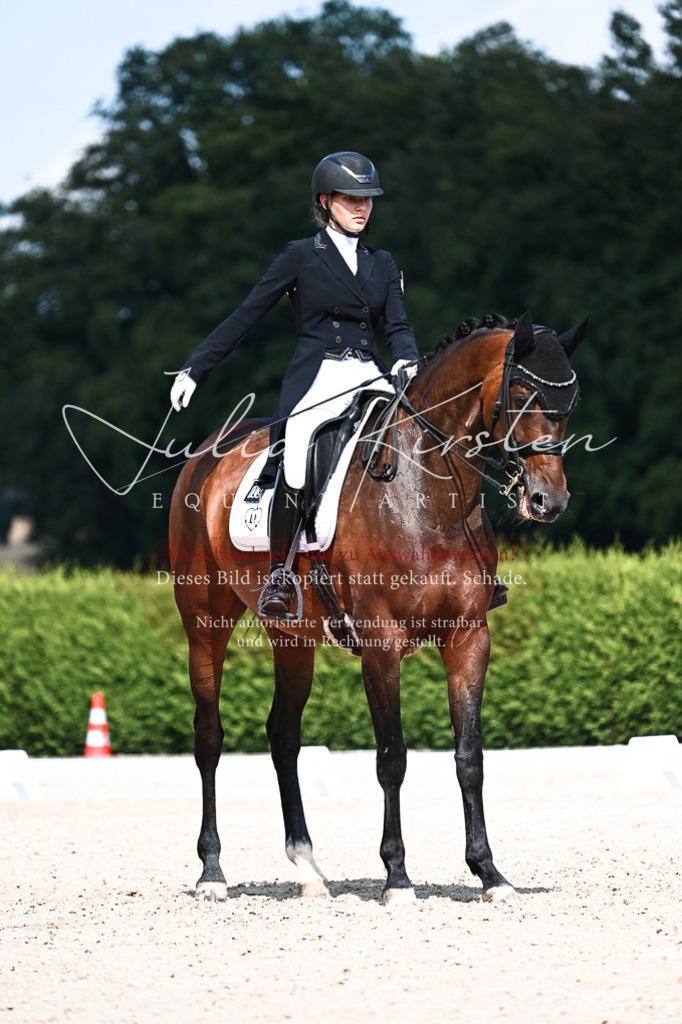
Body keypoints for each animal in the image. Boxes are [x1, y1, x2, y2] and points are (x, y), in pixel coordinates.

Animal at [169, 310, 588, 905]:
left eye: (570, 402)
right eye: (522, 393)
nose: (547, 502)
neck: (427, 492)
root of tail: (207, 452)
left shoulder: (468, 637)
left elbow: (470, 757)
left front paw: (490, 874)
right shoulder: (380, 644)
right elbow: (392, 757)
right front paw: (398, 878)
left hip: (292, 635)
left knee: (283, 735)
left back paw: (308, 869)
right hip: (205, 623)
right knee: (209, 737)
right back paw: (211, 872)